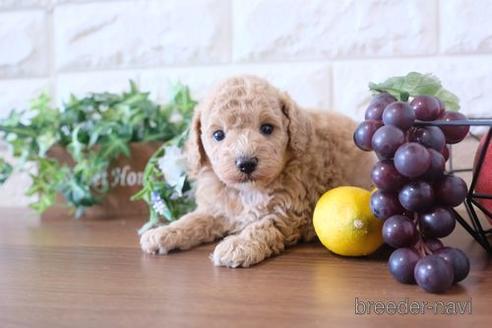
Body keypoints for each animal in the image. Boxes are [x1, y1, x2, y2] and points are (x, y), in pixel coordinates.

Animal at [140, 74, 374, 266]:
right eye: (218, 135)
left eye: (267, 128)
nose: (246, 163)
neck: (250, 190)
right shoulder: (217, 208)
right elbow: (193, 219)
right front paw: (163, 232)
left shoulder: (291, 213)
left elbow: (263, 226)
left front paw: (237, 246)